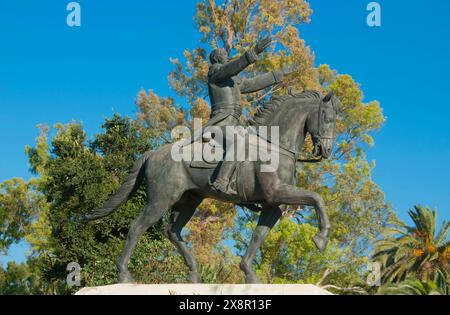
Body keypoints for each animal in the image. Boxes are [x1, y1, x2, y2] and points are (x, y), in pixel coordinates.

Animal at [84, 90, 342, 286]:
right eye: (328, 118)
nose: (326, 151)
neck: (274, 146)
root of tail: (154, 154)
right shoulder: (277, 192)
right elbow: (316, 198)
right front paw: (321, 238)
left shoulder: (274, 205)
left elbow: (259, 235)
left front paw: (248, 273)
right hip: (161, 199)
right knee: (137, 228)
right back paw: (124, 276)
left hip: (189, 200)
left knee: (172, 232)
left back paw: (194, 274)